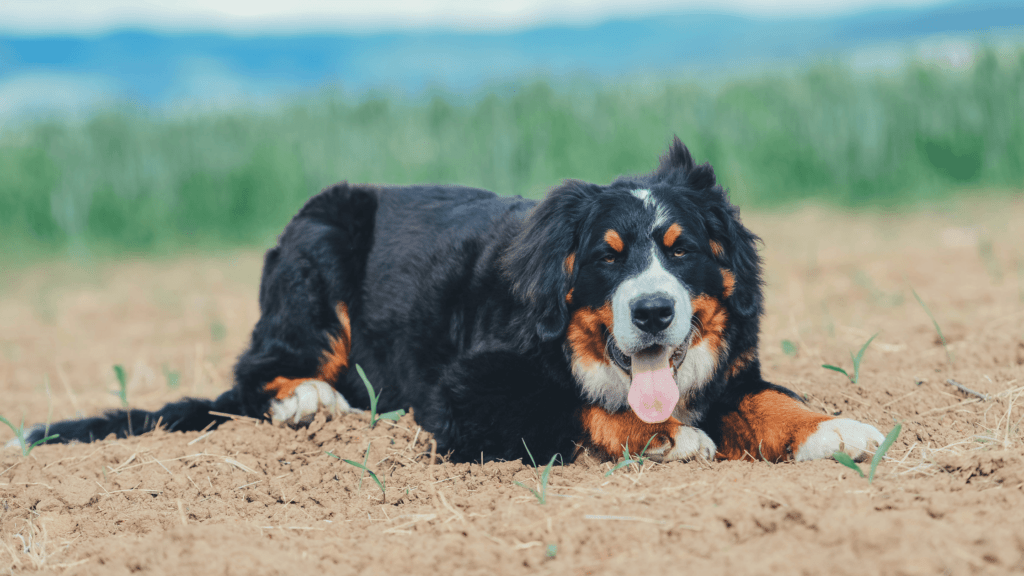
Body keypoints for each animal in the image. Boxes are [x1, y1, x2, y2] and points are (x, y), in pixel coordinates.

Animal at [12, 136, 884, 463]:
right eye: (608, 259)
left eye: (683, 251)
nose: (652, 312)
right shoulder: (464, 391)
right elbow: (573, 405)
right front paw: (669, 436)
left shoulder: (730, 368)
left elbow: (766, 397)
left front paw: (832, 428)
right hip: (319, 247)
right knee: (256, 376)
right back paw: (309, 403)